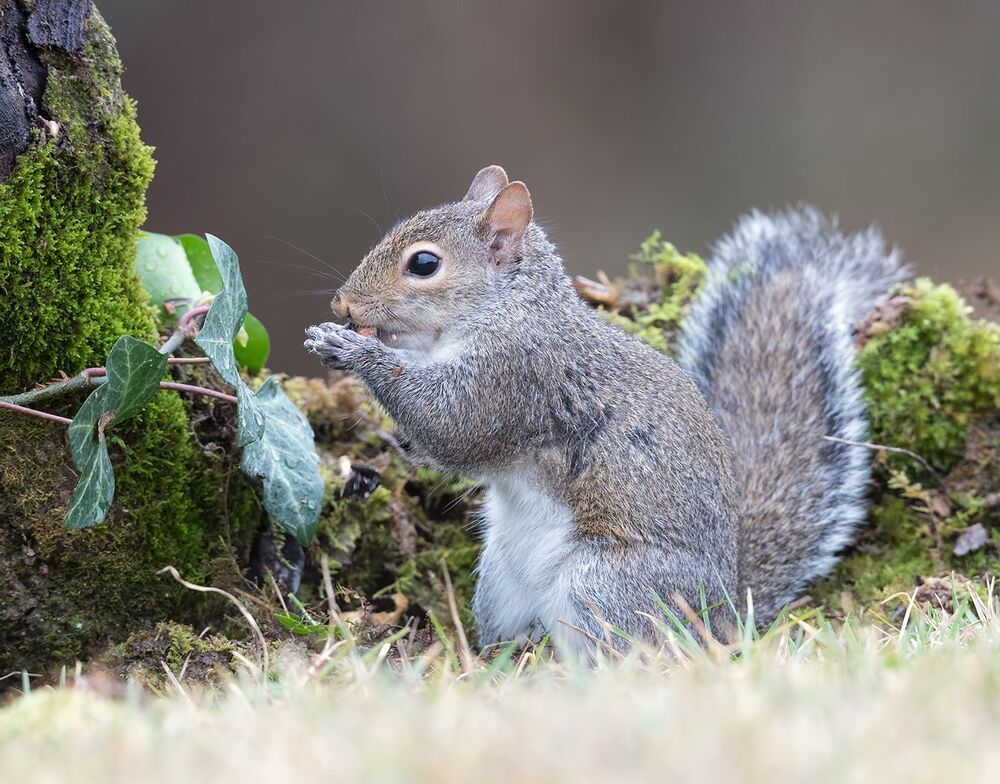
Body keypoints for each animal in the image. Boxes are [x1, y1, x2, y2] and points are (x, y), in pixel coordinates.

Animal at [305, 165, 905, 654]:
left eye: (424, 264)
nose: (344, 304)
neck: (506, 308)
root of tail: (725, 615)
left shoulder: (517, 375)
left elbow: (454, 426)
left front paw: (355, 351)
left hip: (608, 586)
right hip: (501, 583)